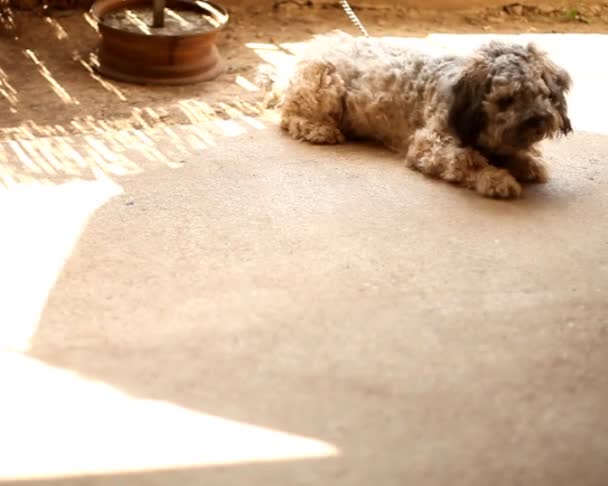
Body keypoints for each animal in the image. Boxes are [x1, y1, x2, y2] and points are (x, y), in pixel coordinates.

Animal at [258, 31, 572, 197]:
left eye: (542, 93)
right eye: (506, 100)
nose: (538, 121)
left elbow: (510, 152)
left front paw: (525, 162)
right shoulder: (430, 144)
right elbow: (467, 159)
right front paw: (495, 178)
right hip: (325, 83)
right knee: (289, 116)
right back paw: (319, 129)